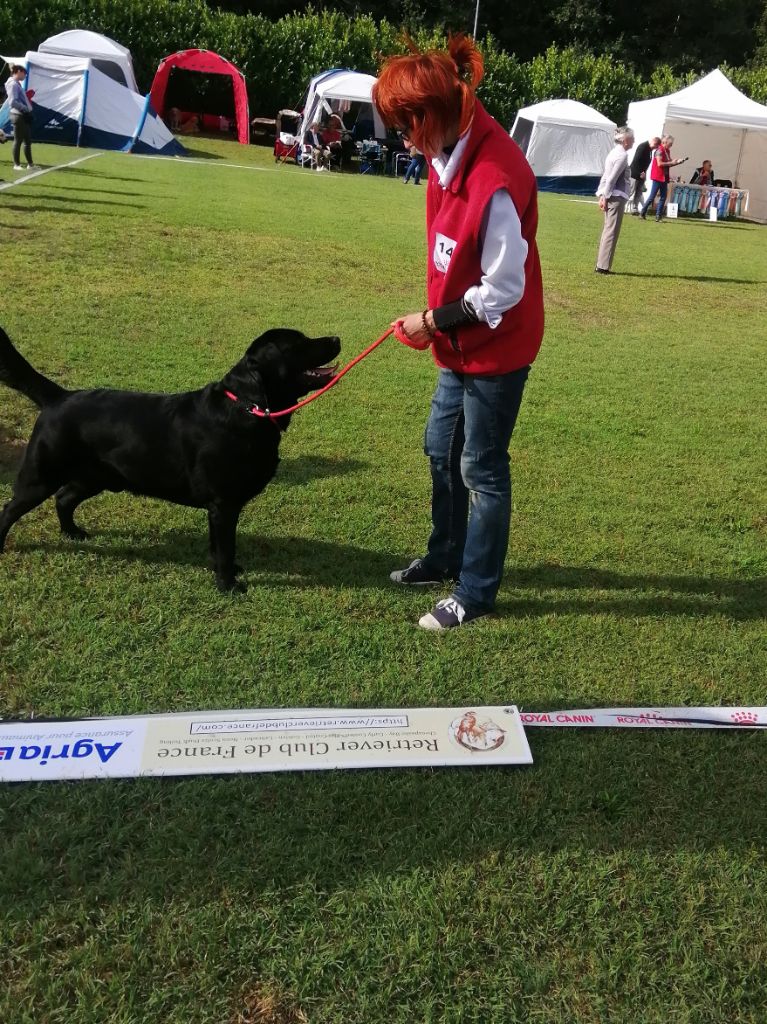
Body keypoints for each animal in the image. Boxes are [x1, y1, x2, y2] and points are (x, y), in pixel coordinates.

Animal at [0, 323, 342, 589]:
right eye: (298, 343)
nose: (337, 338)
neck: (248, 407)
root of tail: (59, 396)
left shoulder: (217, 508)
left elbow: (217, 547)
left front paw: (224, 572)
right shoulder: (224, 503)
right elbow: (226, 548)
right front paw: (228, 585)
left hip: (95, 477)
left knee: (64, 498)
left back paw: (72, 533)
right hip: (40, 476)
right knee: (9, 510)